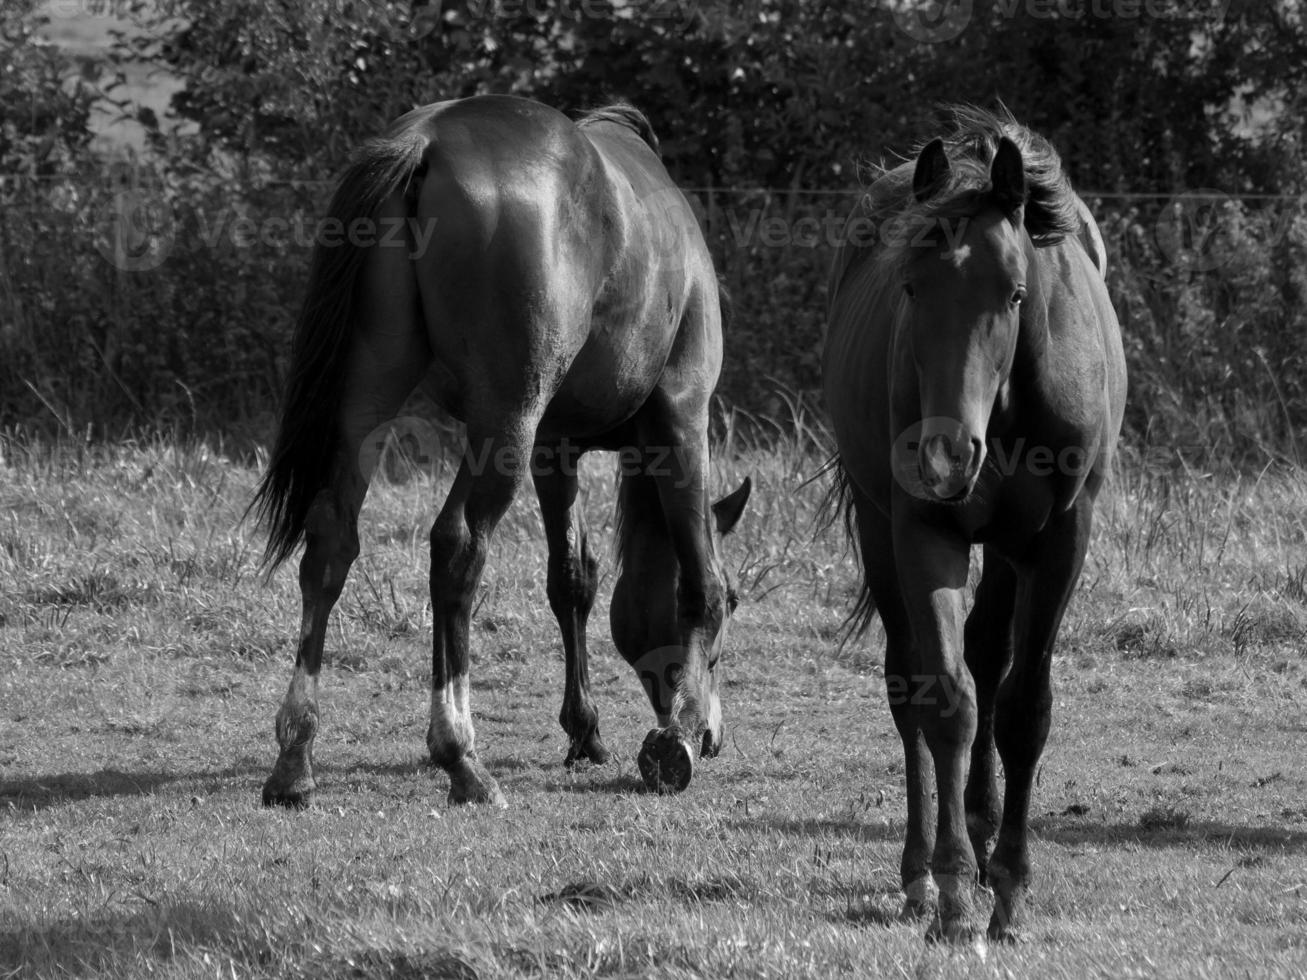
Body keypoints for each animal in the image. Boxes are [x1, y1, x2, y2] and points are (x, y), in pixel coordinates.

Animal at [249, 94, 752, 815]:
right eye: (740, 602)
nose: (713, 735)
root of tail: (426, 142)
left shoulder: (553, 449)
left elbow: (572, 579)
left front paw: (585, 729)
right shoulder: (681, 421)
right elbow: (698, 581)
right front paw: (676, 734)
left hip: (370, 402)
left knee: (331, 543)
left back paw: (296, 758)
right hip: (503, 423)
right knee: (457, 546)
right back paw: (461, 755)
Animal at [826, 111, 1124, 946]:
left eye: (1015, 293)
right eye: (909, 286)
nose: (943, 456)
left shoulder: (1058, 543)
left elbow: (1023, 707)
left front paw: (1010, 886)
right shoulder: (925, 532)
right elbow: (947, 702)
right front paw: (956, 892)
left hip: (1009, 550)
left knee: (991, 659)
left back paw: (986, 831)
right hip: (880, 527)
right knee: (910, 687)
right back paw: (920, 874)